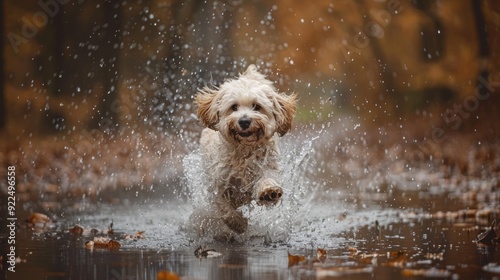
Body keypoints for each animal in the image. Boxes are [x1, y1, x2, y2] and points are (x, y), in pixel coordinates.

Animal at [194, 65, 296, 236]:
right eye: (234, 107)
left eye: (257, 106)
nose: (244, 121)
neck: (244, 150)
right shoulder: (218, 183)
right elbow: (224, 208)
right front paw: (238, 224)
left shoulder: (267, 166)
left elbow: (267, 179)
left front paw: (269, 192)